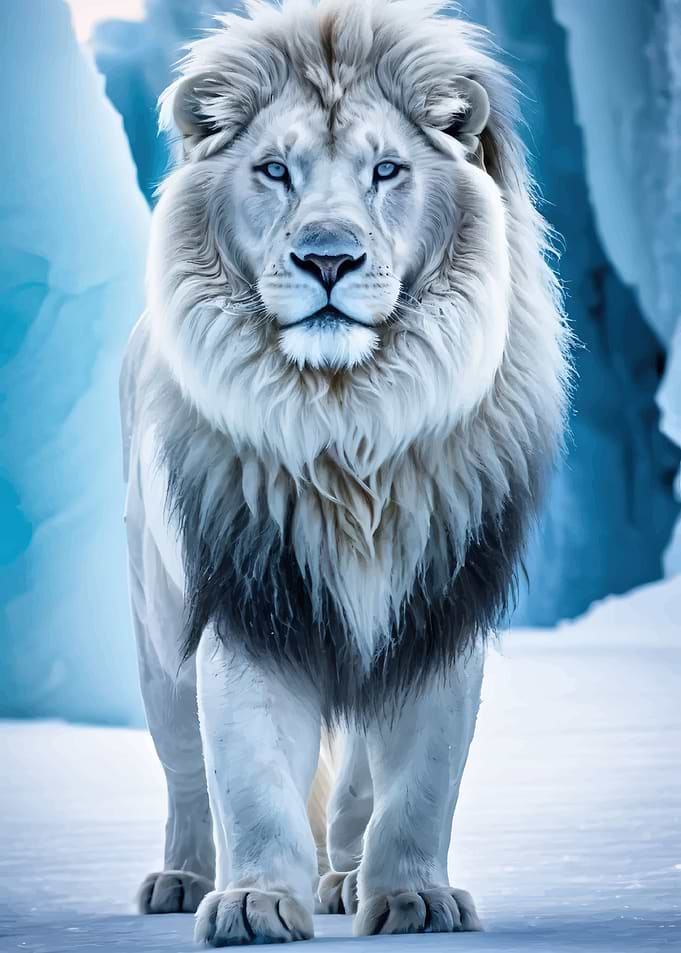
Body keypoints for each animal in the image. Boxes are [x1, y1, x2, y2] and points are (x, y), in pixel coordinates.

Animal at [120, 0, 569, 944]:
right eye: (274, 170)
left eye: (386, 169)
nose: (328, 259)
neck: (348, 424)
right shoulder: (248, 597)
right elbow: (249, 778)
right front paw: (253, 902)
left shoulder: (436, 606)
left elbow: (421, 782)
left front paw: (414, 899)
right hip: (157, 627)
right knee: (186, 770)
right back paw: (185, 877)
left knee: (357, 781)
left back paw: (347, 876)